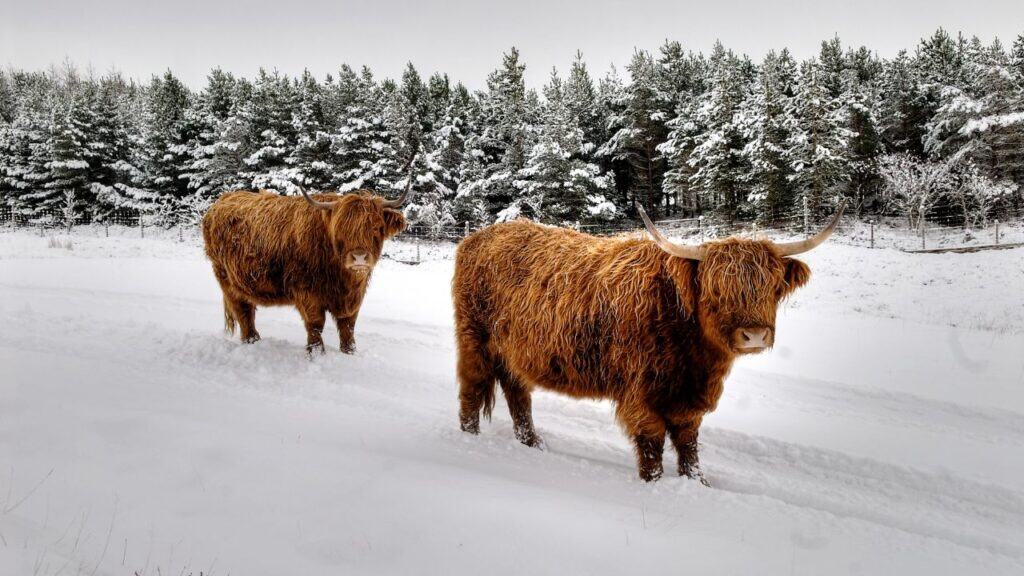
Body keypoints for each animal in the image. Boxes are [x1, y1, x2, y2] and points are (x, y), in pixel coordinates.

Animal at [202, 176, 412, 355]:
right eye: (340, 230)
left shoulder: (353, 297)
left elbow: (348, 325)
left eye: (376, 228)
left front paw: (349, 351)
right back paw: (251, 341)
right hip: (226, 279)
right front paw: (316, 353)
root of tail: (222, 201)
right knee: (243, 311)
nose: (359, 258)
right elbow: (315, 324)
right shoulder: (307, 291)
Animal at [452, 204, 844, 483]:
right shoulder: (641, 395)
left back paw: (534, 444)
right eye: (716, 290)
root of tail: (476, 239)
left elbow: (688, 445)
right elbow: (652, 446)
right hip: (475, 341)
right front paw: (654, 484)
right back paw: (470, 438)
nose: (755, 335)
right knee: (472, 388)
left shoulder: (687, 401)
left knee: (518, 395)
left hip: (512, 352)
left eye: (772, 287)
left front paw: (697, 483)